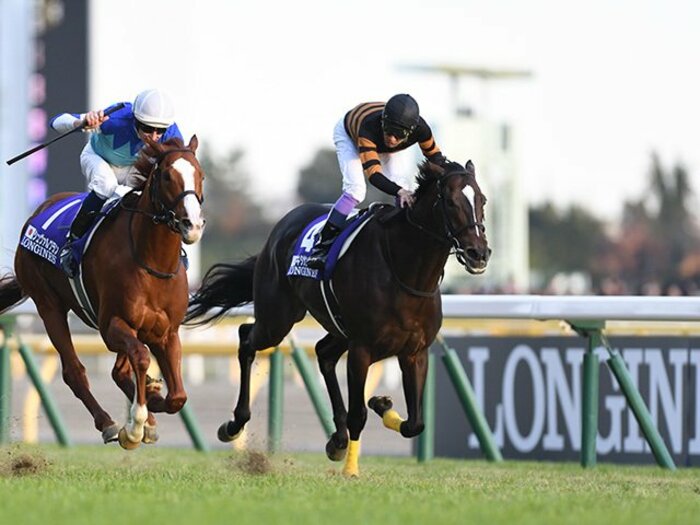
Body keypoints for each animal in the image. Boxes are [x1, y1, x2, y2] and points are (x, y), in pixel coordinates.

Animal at [0, 136, 205, 449]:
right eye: (168, 176)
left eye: (200, 175)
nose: (192, 225)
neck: (152, 262)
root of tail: (38, 212)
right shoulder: (112, 325)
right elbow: (141, 358)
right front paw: (136, 425)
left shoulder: (166, 333)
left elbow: (177, 397)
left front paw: (152, 400)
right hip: (48, 305)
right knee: (75, 371)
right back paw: (108, 423)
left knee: (119, 372)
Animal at [186, 159, 490, 475]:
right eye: (451, 201)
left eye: (482, 200)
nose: (479, 253)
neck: (405, 271)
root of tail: (282, 226)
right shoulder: (362, 349)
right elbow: (359, 415)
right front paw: (351, 470)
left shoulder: (415, 352)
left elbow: (415, 423)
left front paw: (381, 405)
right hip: (278, 318)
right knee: (247, 337)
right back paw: (234, 425)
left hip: (336, 328)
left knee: (323, 352)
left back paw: (338, 439)